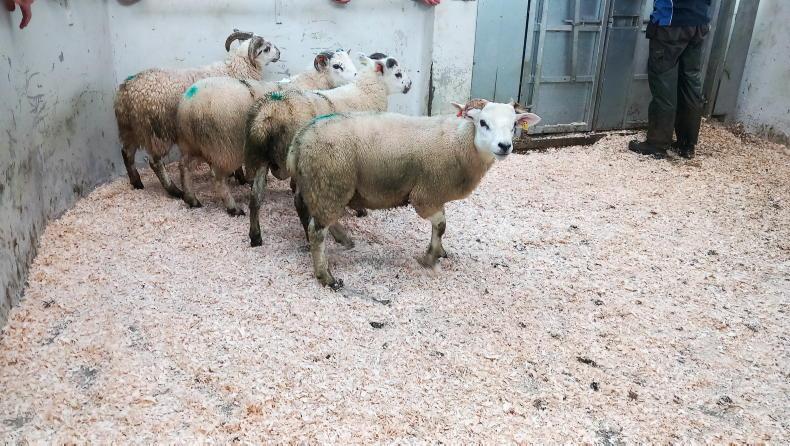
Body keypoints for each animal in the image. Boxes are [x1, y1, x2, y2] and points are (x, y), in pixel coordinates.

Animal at [114, 29, 280, 198]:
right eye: (266, 48)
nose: (279, 53)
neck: (237, 68)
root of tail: (128, 90)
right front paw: (240, 178)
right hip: (158, 131)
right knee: (155, 162)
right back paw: (174, 190)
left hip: (129, 129)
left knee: (126, 153)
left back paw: (137, 183)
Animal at [175, 49, 358, 215]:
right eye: (336, 66)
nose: (357, 77)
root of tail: (190, 104)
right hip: (222, 148)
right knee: (218, 179)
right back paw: (233, 208)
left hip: (193, 144)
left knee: (184, 165)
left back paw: (191, 199)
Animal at [244, 53, 412, 248]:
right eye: (398, 73)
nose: (409, 85)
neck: (366, 93)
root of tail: (268, 114)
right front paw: (360, 209)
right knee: (302, 203)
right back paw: (335, 238)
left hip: (260, 158)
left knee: (255, 197)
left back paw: (256, 237)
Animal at [287, 99, 542, 289]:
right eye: (483, 122)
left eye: (513, 125)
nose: (504, 146)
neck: (461, 143)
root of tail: (299, 139)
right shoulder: (425, 196)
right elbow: (441, 225)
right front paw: (429, 257)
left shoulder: (437, 195)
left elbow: (440, 225)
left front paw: (440, 251)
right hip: (330, 182)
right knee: (317, 230)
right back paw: (325, 276)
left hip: (319, 186)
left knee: (307, 212)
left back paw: (342, 240)